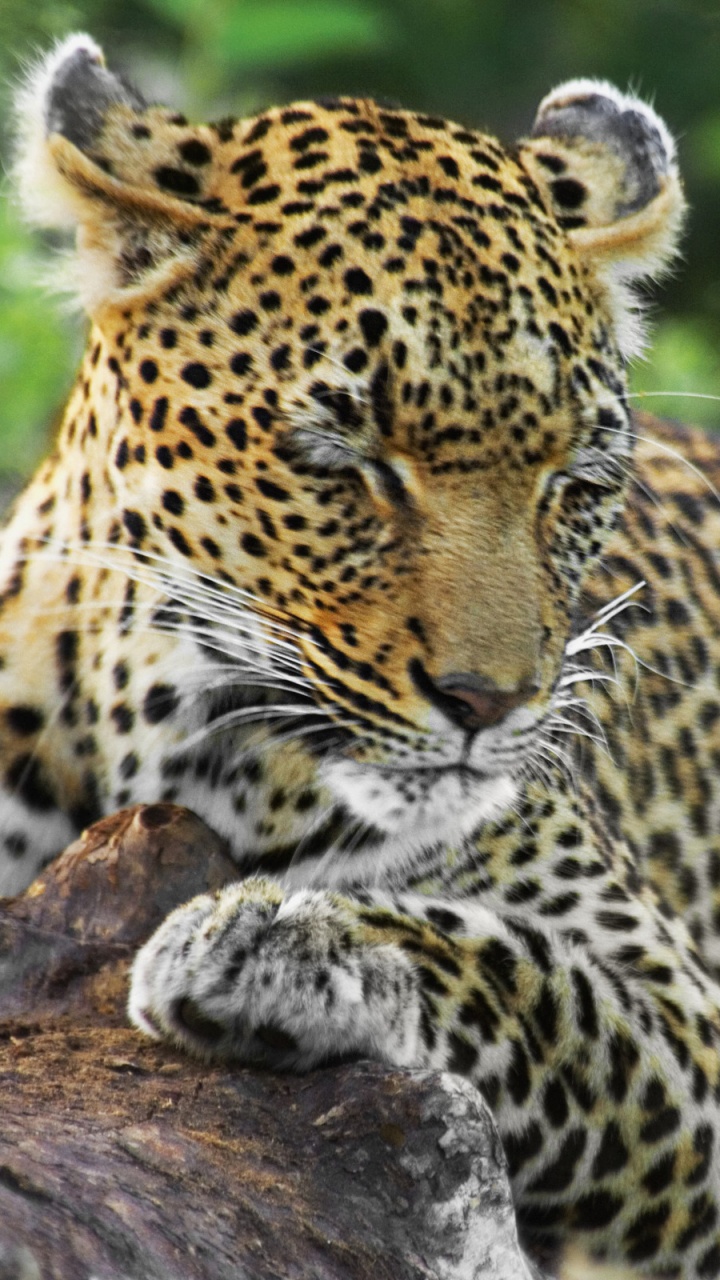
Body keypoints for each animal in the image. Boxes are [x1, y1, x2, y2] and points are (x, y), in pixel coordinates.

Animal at [3, 32, 720, 1277]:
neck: (165, 731)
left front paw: (277, 938)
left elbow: (526, 969)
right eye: (346, 463)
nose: (488, 702)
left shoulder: (686, 1022)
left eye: (574, 482)